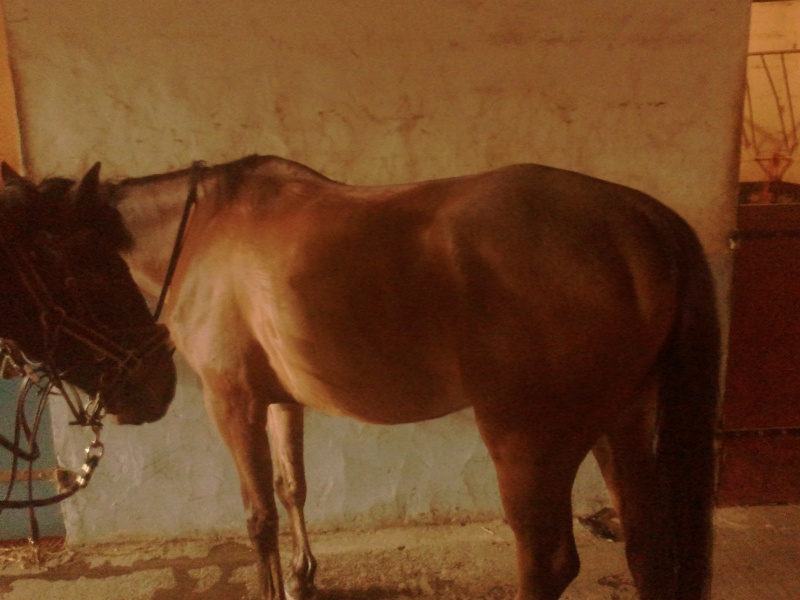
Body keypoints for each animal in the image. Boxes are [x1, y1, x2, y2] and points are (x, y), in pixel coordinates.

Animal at [56, 156, 720, 600]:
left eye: (81, 275)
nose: (146, 394)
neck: (206, 231)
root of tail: (642, 219)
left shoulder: (234, 402)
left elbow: (258, 516)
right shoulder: (281, 400)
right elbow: (291, 487)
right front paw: (301, 578)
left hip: (529, 445)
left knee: (547, 562)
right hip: (622, 426)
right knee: (646, 549)